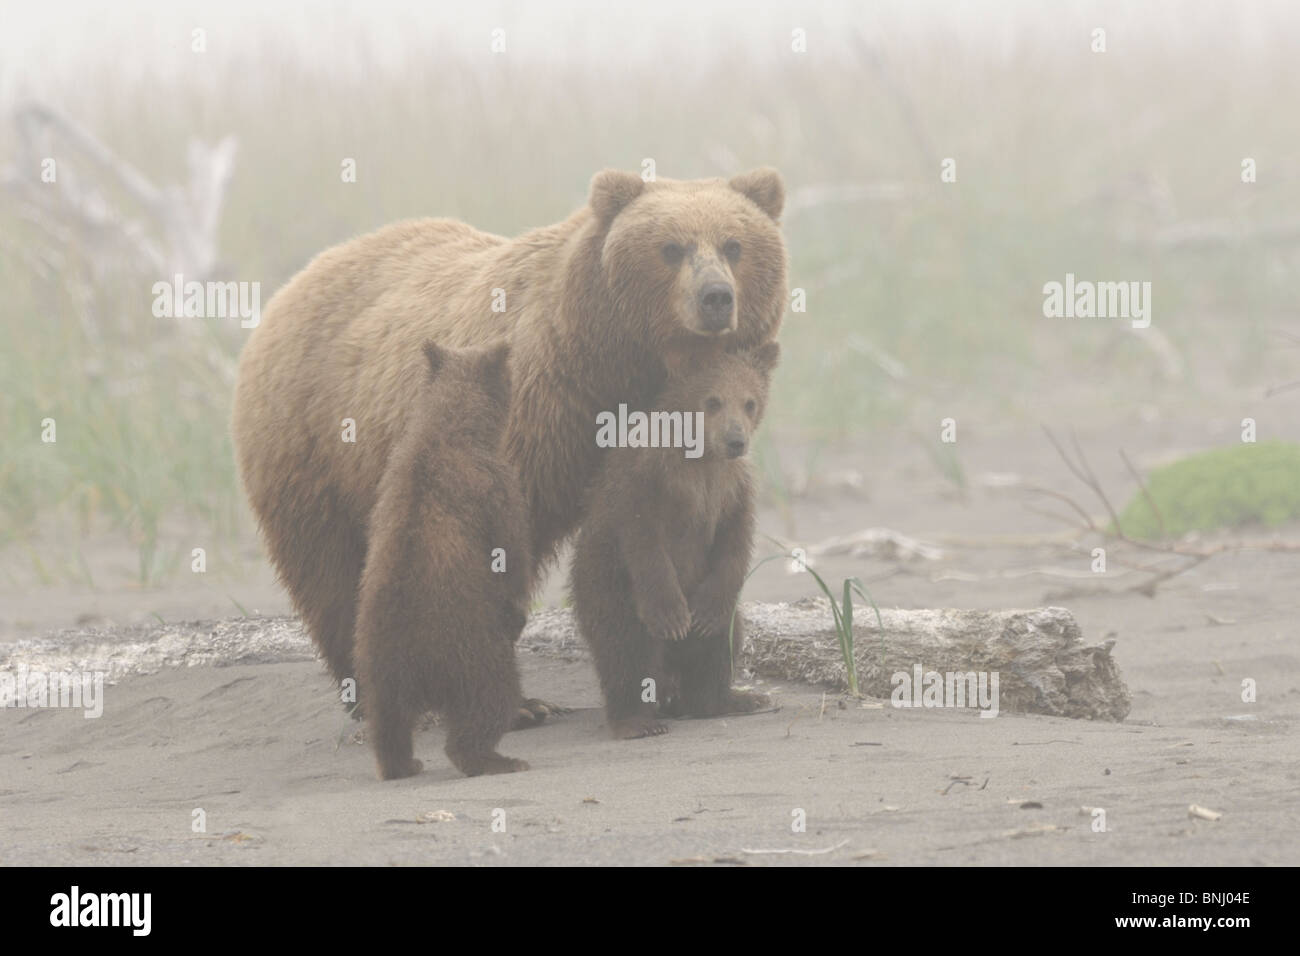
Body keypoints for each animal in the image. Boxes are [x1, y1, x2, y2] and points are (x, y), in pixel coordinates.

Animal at [352, 340, 532, 780]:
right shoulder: (496, 485)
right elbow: (511, 554)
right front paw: (518, 609)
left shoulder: (386, 490)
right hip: (470, 649)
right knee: (492, 697)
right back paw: (495, 758)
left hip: (373, 667)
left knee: (389, 724)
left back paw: (402, 763)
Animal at [570, 340, 780, 739]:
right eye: (713, 400)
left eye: (749, 401)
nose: (735, 440)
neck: (700, 458)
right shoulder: (645, 481)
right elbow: (645, 545)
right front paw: (673, 616)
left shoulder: (733, 489)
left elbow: (735, 544)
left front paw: (704, 616)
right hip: (609, 594)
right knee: (626, 650)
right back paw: (636, 720)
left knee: (724, 640)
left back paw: (731, 699)